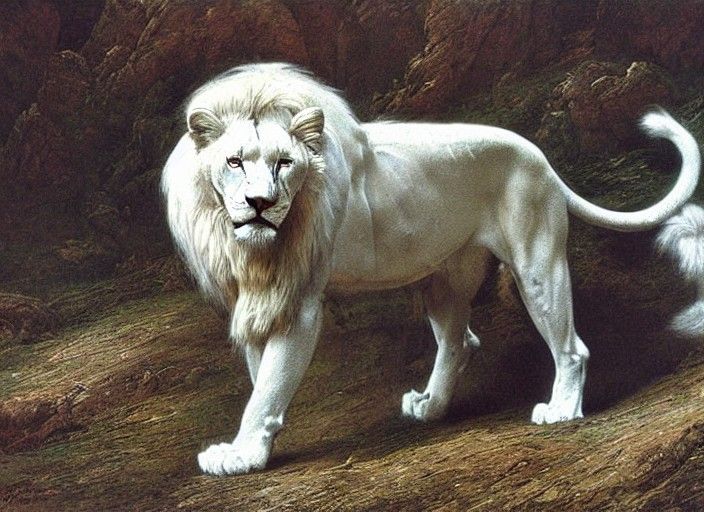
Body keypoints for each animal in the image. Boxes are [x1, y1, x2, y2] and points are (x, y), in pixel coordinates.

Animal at [161, 63, 701, 475]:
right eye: (234, 161)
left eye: (284, 163)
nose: (260, 203)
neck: (253, 250)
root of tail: (539, 157)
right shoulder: (258, 297)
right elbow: (261, 380)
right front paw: (254, 450)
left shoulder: (299, 304)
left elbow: (269, 386)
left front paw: (241, 456)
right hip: (443, 280)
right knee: (461, 341)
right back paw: (430, 408)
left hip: (536, 262)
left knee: (571, 348)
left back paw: (563, 411)